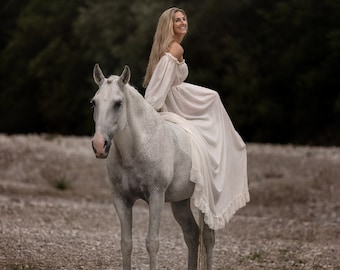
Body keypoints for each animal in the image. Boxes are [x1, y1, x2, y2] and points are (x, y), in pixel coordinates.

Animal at [90, 65, 215, 270]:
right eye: (94, 103)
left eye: (118, 103)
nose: (100, 145)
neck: (137, 149)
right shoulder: (121, 199)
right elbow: (126, 243)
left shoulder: (156, 196)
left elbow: (152, 243)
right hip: (180, 202)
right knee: (192, 235)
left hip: (209, 205)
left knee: (208, 238)